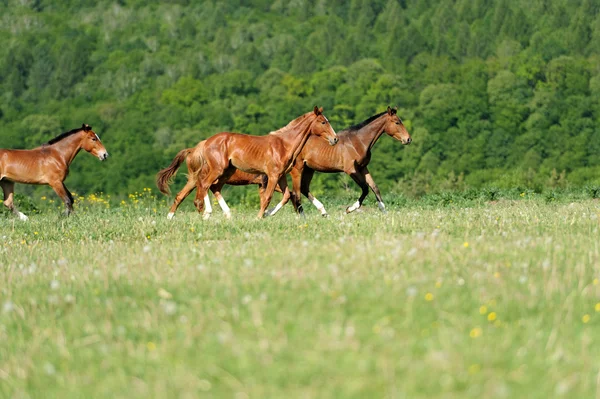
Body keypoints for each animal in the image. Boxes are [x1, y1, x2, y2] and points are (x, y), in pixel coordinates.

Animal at [156, 106, 338, 219]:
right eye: (323, 122)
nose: (335, 139)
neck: (283, 144)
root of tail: (203, 143)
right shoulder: (271, 176)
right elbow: (268, 197)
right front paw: (259, 217)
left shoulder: (279, 176)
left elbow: (287, 195)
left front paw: (267, 214)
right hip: (216, 171)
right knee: (204, 186)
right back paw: (204, 212)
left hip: (224, 173)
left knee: (204, 189)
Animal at [209, 106, 410, 217]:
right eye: (397, 122)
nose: (408, 139)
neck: (358, 141)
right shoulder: (350, 169)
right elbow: (365, 189)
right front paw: (349, 209)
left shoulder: (363, 168)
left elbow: (375, 188)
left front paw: (384, 211)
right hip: (299, 169)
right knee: (298, 192)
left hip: (309, 169)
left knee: (303, 190)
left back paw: (321, 211)